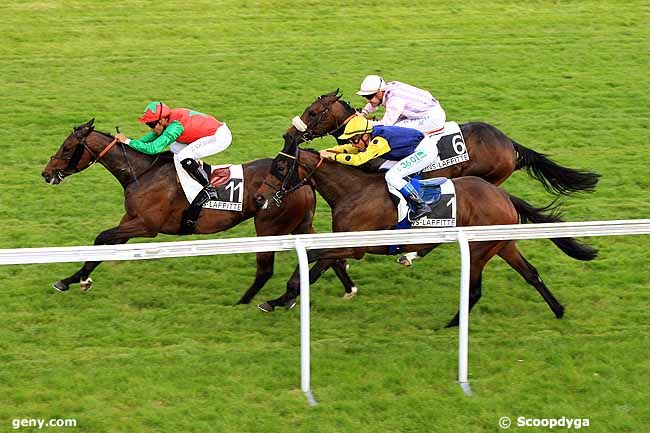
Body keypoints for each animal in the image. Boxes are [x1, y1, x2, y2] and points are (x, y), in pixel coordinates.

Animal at [40, 116, 354, 302]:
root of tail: (302, 181)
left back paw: (243, 304)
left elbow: (102, 237)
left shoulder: (147, 226)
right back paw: (348, 288)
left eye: (67, 148)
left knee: (266, 269)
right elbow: (104, 245)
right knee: (330, 252)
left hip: (270, 226)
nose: (46, 173)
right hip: (300, 223)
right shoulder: (130, 220)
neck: (141, 173)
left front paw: (73, 280)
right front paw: (77, 279)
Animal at [253, 143, 596, 328]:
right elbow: (315, 266)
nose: (258, 198)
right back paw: (558, 310)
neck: (353, 191)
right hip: (501, 245)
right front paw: (281, 299)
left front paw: (280, 298)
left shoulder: (357, 246)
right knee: (531, 274)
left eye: (280, 168)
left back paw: (451, 325)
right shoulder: (344, 243)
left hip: (479, 249)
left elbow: (313, 259)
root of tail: (502, 194)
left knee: (475, 290)